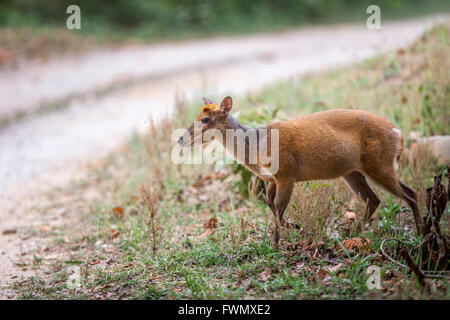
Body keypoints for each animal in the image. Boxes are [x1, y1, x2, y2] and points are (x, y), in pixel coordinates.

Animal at [177, 96, 426, 249]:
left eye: (205, 119)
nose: (180, 139)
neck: (256, 147)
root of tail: (398, 133)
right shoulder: (272, 179)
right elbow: (271, 205)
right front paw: (295, 227)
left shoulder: (286, 172)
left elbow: (278, 207)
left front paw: (275, 243)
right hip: (353, 172)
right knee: (373, 199)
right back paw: (353, 232)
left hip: (379, 164)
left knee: (410, 193)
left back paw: (422, 233)